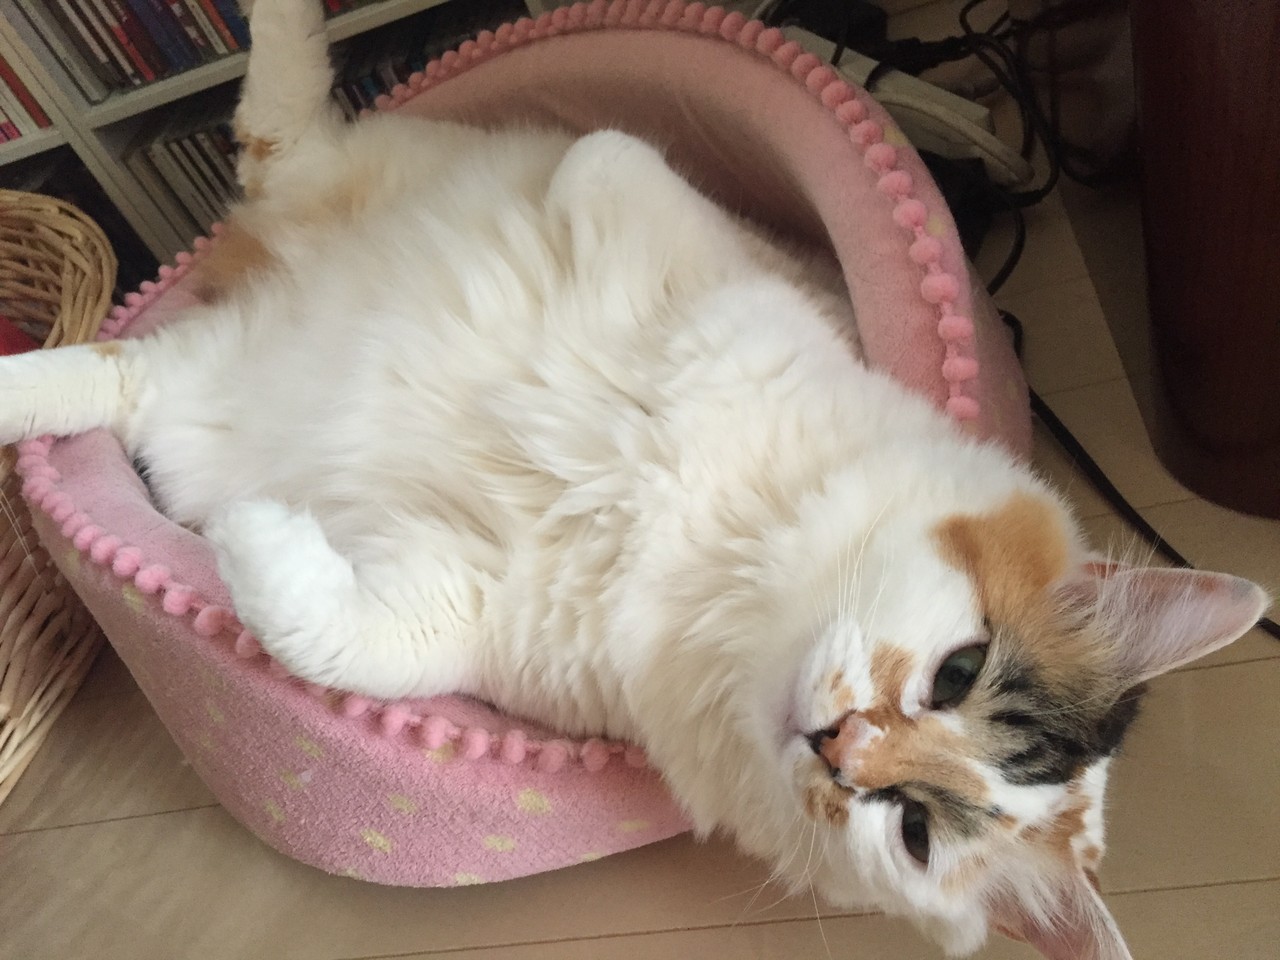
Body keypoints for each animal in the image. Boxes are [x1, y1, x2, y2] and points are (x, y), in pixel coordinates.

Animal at [0, 1, 1267, 957]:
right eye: (956, 672)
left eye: (909, 828)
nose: (839, 749)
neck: (713, 563)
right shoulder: (680, 223)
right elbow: (605, 170)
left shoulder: (461, 604)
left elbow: (334, 635)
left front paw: (250, 540)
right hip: (326, 185)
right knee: (276, 119)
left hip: (192, 378)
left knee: (114, 362)